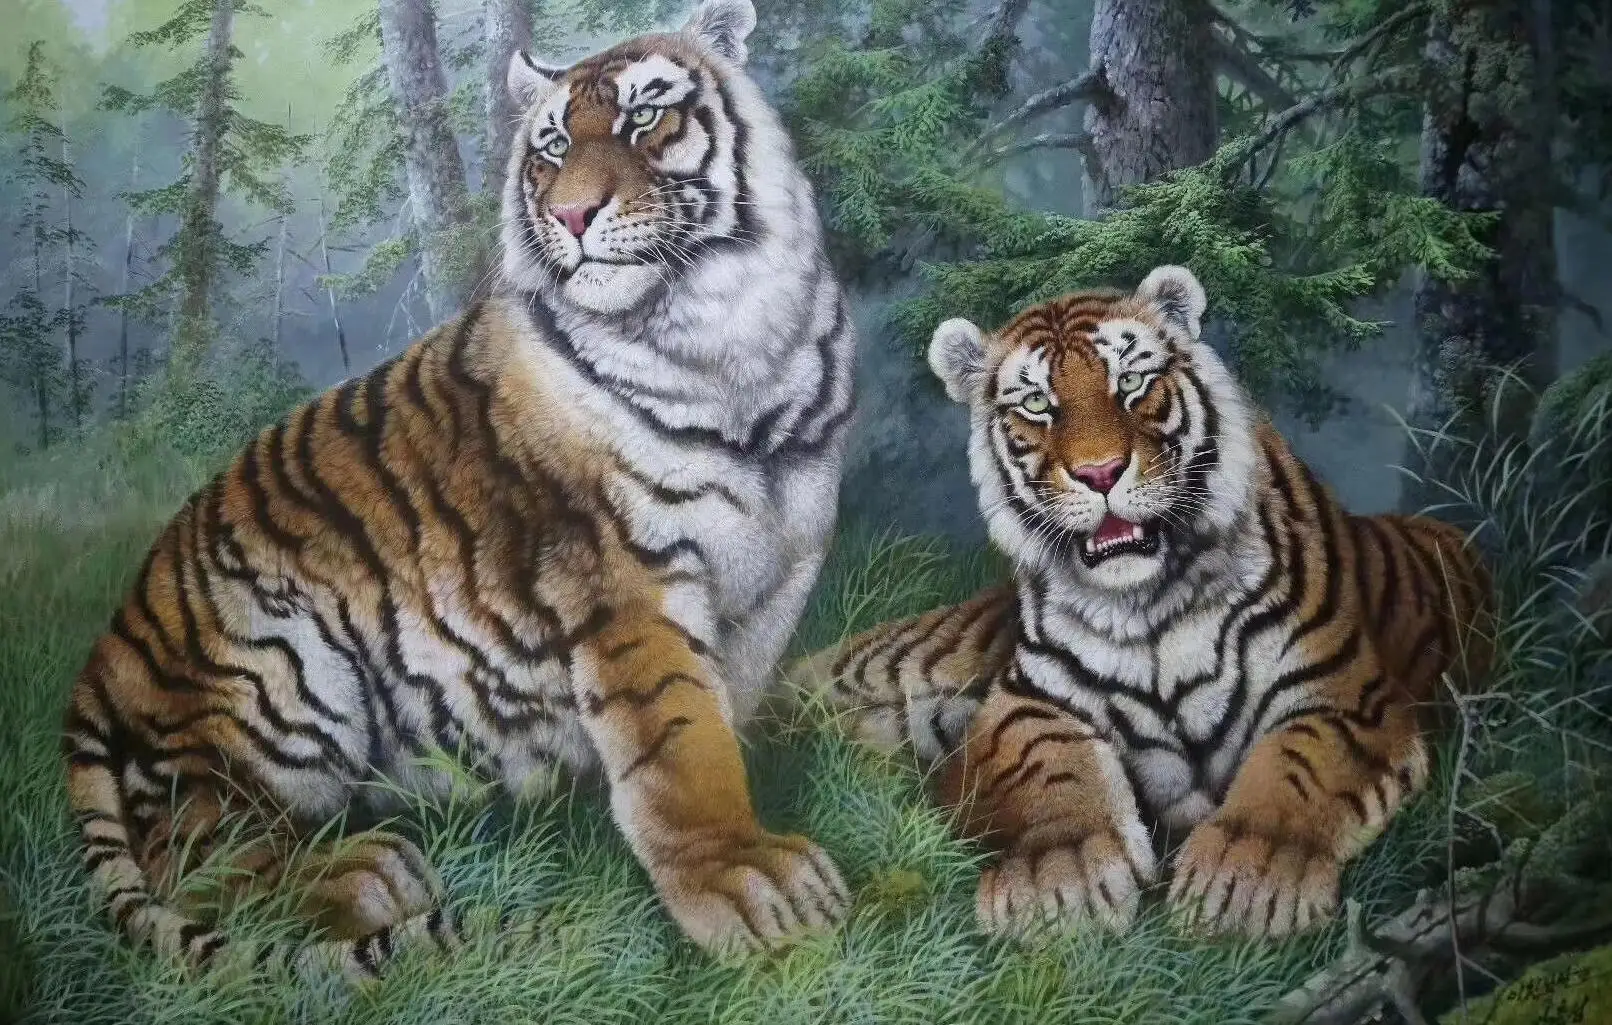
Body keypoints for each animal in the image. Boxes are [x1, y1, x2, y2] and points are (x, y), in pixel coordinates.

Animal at [62, 0, 858, 979]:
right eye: (552, 145)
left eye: (643, 117)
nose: (572, 213)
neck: (732, 344)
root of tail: (99, 659)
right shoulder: (623, 577)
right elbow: (681, 741)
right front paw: (742, 881)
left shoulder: (785, 573)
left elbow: (725, 711)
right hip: (278, 670)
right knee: (199, 849)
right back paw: (365, 875)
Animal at [787, 265, 1491, 940]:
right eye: (1037, 404)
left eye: (1130, 382)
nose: (1100, 473)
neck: (1147, 604)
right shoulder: (1027, 705)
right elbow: (1053, 771)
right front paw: (1058, 880)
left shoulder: (1344, 695)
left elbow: (1296, 768)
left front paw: (1247, 880)